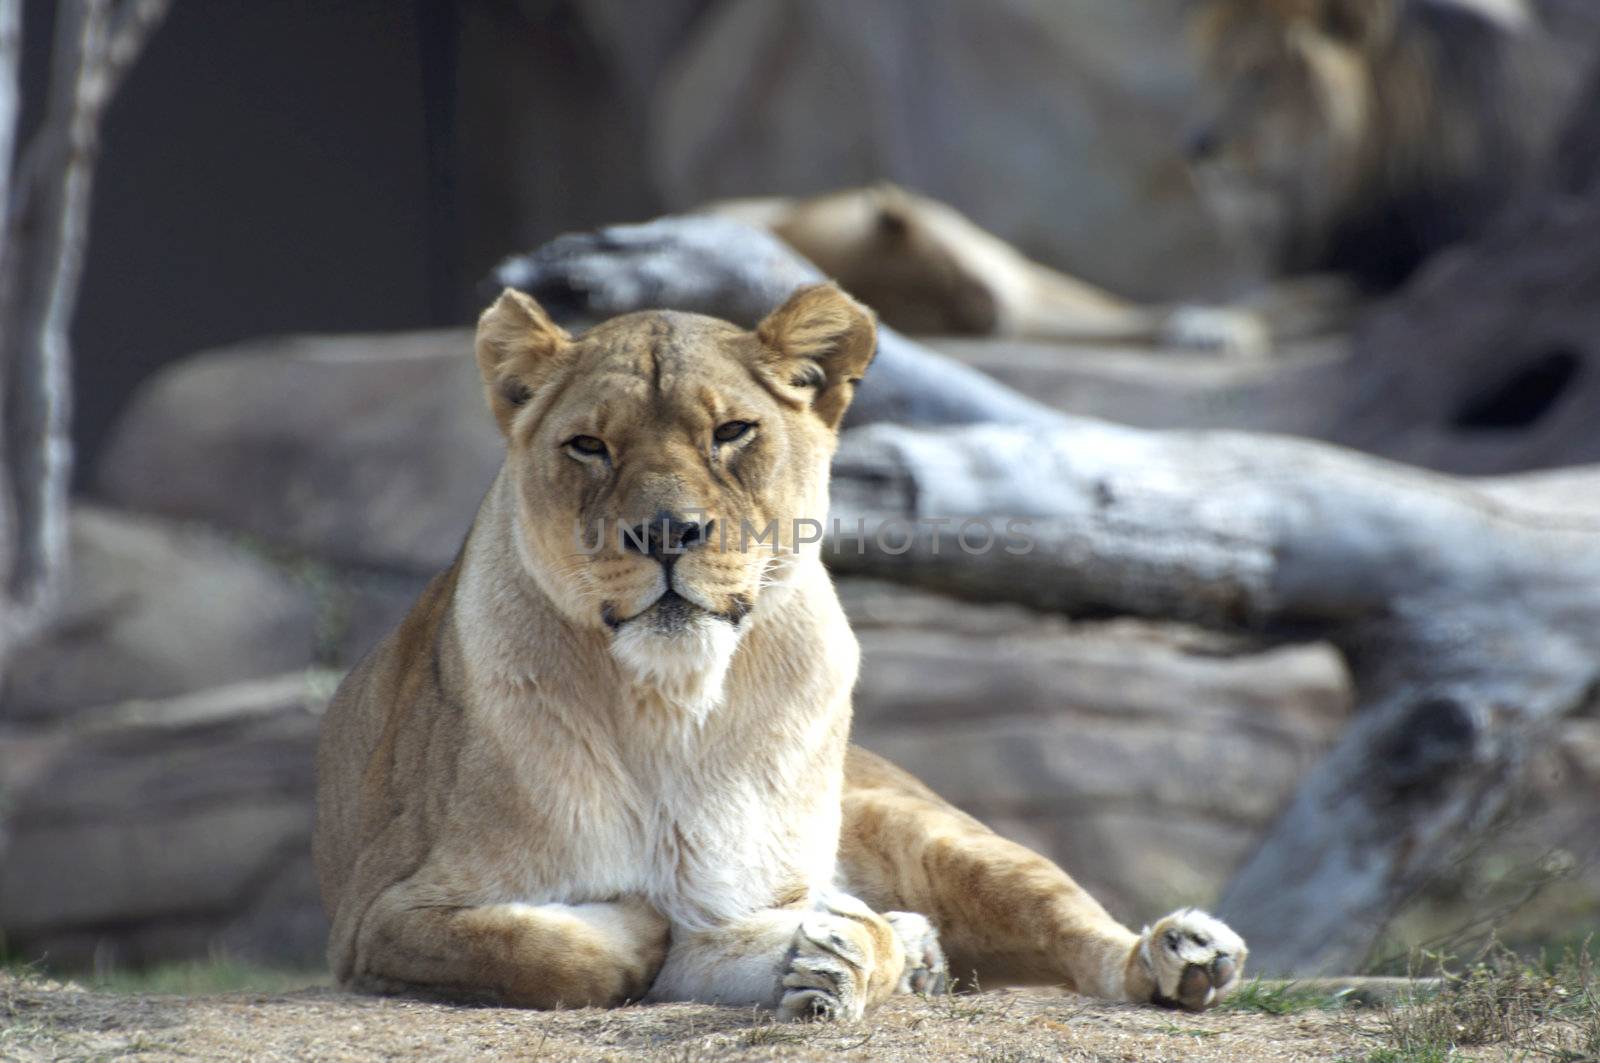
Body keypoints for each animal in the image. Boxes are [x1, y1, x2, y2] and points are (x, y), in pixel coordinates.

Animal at [305, 281, 1241, 1024]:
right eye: (588, 445)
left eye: (731, 431)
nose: (666, 532)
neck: (670, 706)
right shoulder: (379, 913)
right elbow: (559, 952)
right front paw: (642, 921)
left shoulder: (745, 899)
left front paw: (858, 956)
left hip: (922, 822)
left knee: (1075, 923)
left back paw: (1180, 955)